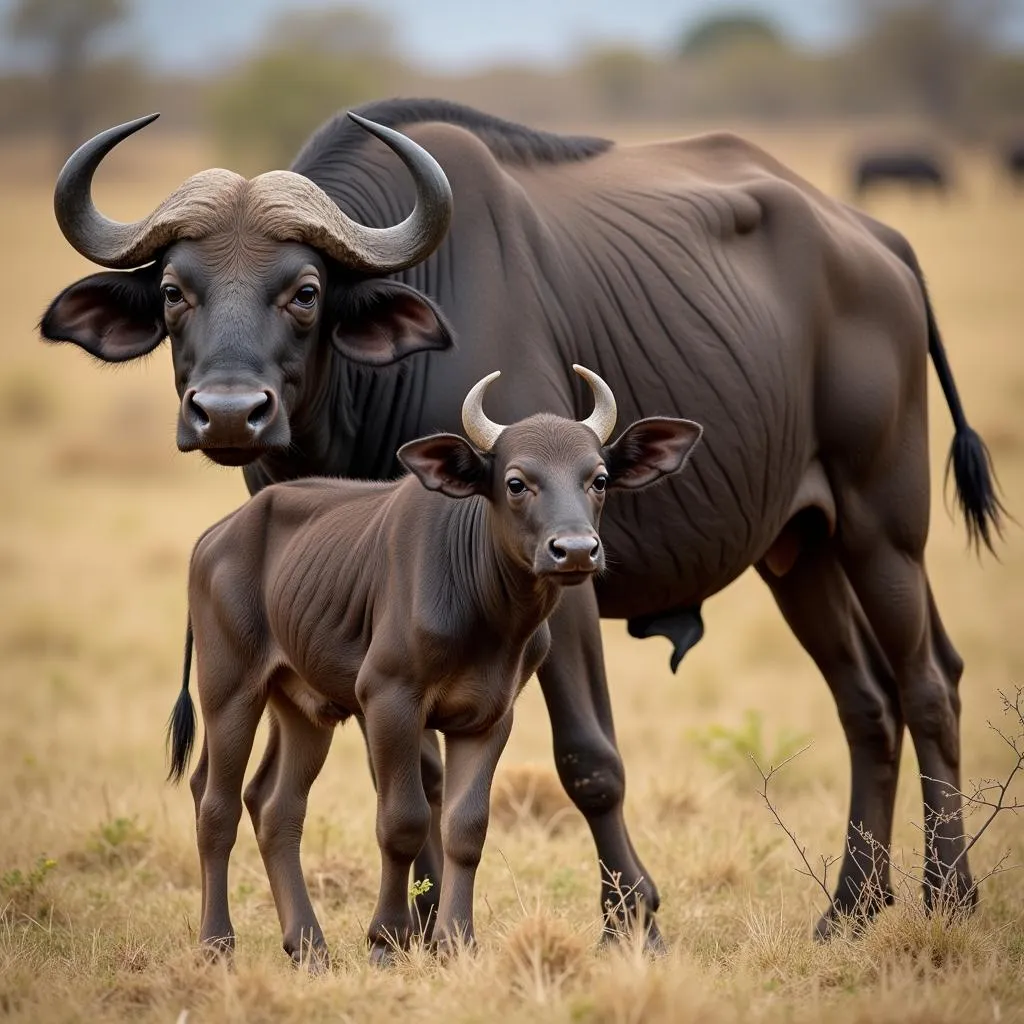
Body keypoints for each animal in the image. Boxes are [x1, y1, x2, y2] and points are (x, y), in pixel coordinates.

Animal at [167, 364, 704, 962]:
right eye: (516, 482)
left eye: (600, 478)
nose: (576, 550)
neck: (487, 612)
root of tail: (213, 538)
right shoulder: (389, 699)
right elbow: (402, 820)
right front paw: (386, 938)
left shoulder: (490, 716)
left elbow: (466, 827)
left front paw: (456, 940)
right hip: (229, 688)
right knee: (215, 803)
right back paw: (217, 943)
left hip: (302, 705)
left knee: (275, 806)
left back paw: (308, 947)